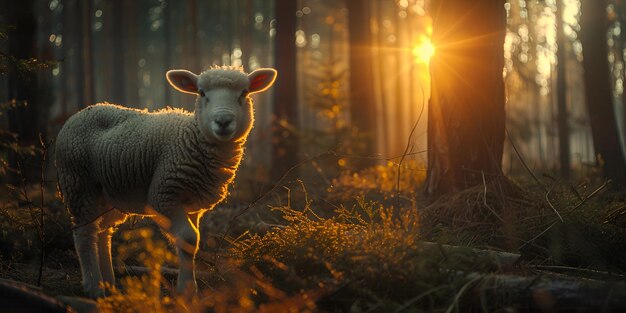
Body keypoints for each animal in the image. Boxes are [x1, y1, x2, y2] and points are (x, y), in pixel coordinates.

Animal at [55, 64, 276, 296]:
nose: (223, 121)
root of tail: (80, 113)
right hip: (77, 182)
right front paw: (187, 289)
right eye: (201, 93)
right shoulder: (163, 194)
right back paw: (93, 287)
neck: (191, 139)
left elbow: (192, 241)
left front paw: (188, 289)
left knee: (103, 232)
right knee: (84, 233)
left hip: (108, 194)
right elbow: (188, 237)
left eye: (244, 93)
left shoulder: (193, 204)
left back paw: (108, 283)